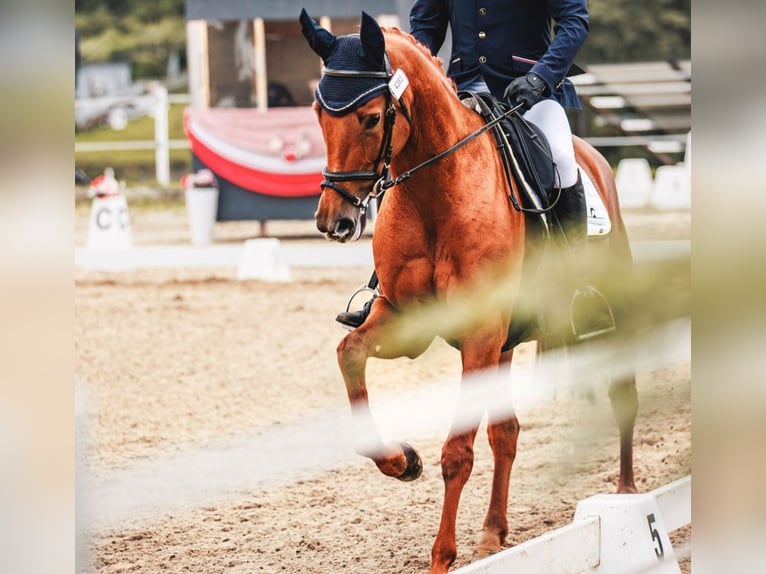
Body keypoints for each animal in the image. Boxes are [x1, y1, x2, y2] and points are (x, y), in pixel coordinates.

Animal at [300, 10, 640, 574]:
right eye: (318, 114)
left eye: (370, 119)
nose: (335, 222)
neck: (434, 192)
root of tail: (596, 160)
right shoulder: (405, 320)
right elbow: (350, 353)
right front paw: (402, 461)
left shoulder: (479, 332)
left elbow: (457, 453)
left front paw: (441, 557)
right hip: (503, 344)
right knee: (507, 433)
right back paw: (492, 531)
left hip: (597, 320)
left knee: (622, 396)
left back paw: (628, 496)